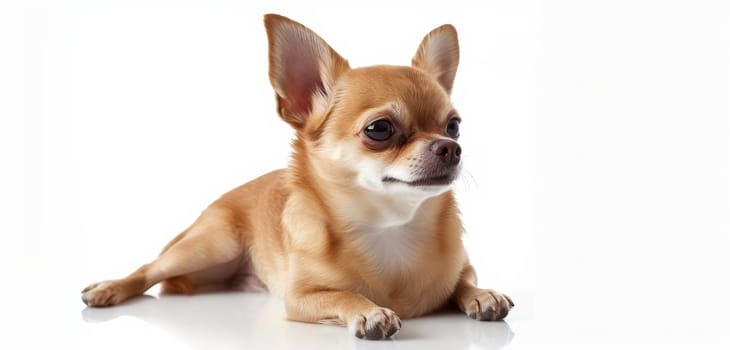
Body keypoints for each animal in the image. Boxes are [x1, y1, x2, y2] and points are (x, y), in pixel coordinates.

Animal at [79, 13, 512, 340]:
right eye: (380, 130)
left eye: (454, 126)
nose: (450, 147)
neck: (391, 228)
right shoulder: (300, 297)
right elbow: (342, 296)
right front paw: (369, 311)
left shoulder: (461, 267)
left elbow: (464, 280)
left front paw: (482, 293)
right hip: (210, 244)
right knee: (148, 269)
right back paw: (108, 289)